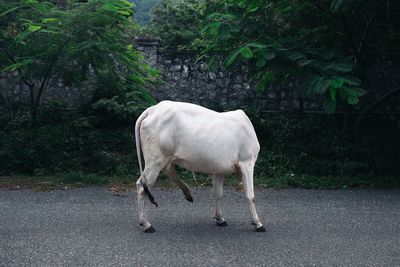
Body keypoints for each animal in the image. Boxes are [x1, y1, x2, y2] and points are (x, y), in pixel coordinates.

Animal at [135, 100, 266, 232]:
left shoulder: (219, 170)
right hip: (155, 160)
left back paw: (187, 193)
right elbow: (250, 195)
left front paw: (220, 219)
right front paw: (258, 223)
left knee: (169, 172)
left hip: (165, 158)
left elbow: (218, 194)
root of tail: (153, 109)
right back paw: (146, 224)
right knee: (142, 186)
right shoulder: (247, 162)